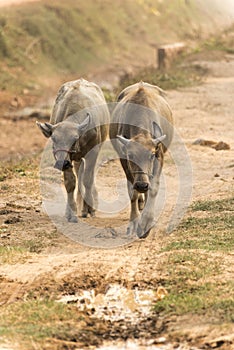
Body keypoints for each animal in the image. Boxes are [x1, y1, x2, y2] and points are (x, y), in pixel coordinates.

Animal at [36, 78, 109, 221]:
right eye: (54, 139)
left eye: (74, 139)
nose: (62, 163)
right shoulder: (67, 159)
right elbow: (70, 182)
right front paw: (71, 212)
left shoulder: (92, 153)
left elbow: (87, 179)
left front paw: (89, 209)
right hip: (76, 159)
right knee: (78, 173)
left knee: (87, 176)